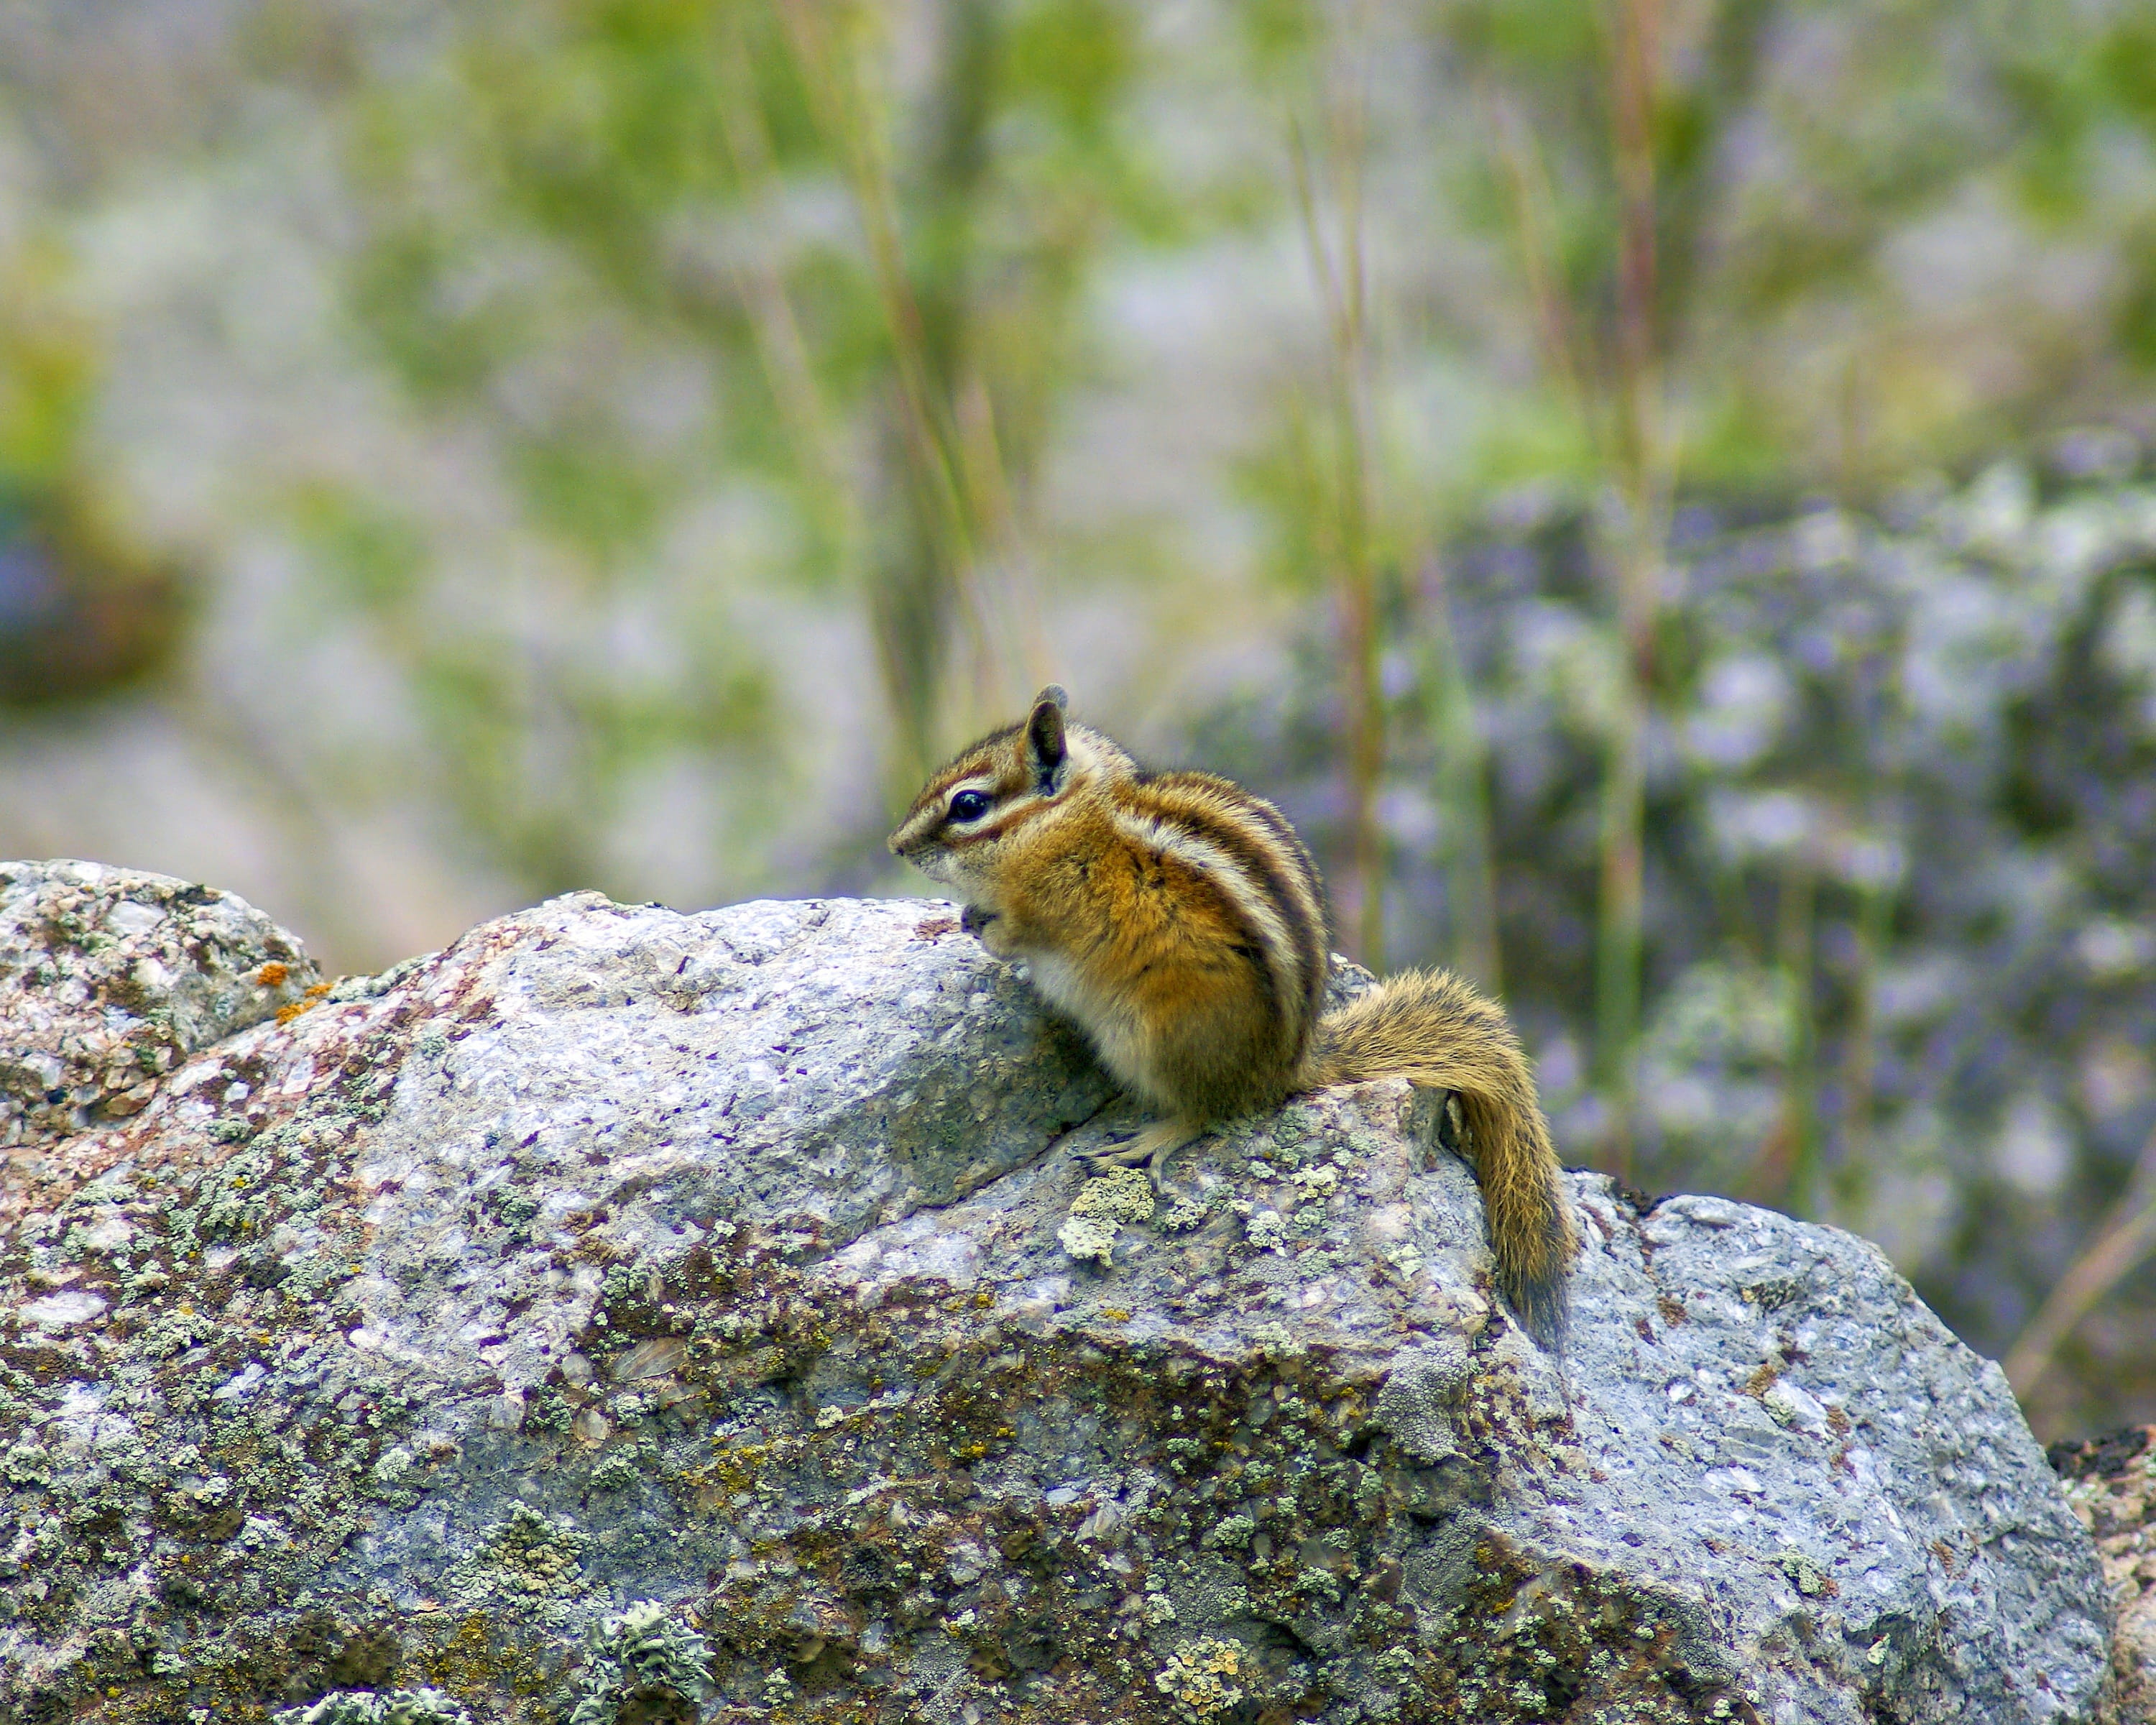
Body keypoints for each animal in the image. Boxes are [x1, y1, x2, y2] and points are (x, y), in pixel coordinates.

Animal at [888, 684, 1576, 1340]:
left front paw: (980, 926)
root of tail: (1285, 1069)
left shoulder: (1045, 905)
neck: (1064, 821)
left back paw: (1147, 1141)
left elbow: (1014, 935)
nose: (896, 846)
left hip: (1151, 1036)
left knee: (1209, 1110)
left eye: (967, 806)